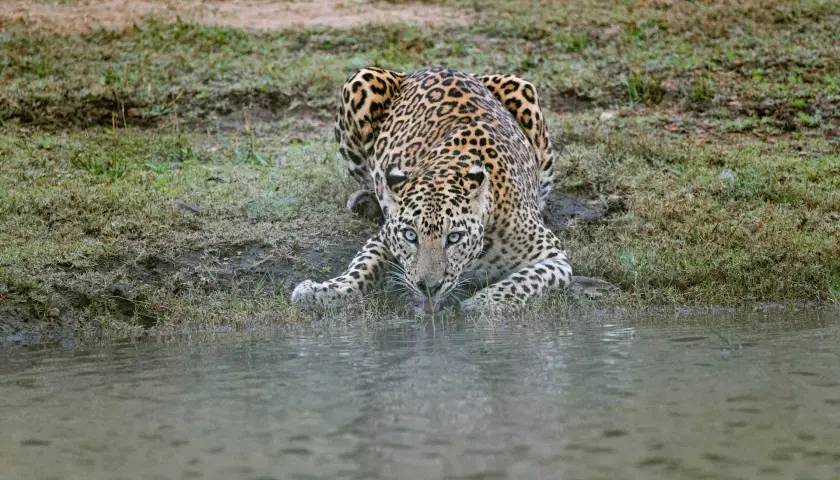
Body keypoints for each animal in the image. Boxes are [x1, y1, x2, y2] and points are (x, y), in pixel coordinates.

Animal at [292, 66, 576, 316]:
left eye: (454, 237)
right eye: (410, 236)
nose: (428, 287)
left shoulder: (554, 257)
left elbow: (526, 280)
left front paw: (483, 303)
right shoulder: (384, 236)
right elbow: (361, 266)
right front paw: (324, 290)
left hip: (524, 93)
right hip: (360, 82)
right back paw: (367, 201)